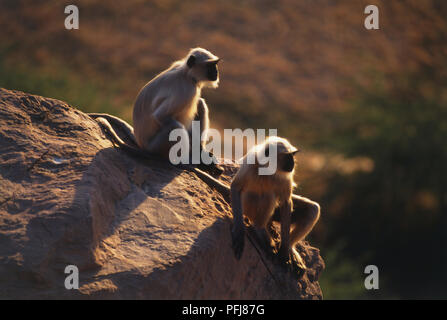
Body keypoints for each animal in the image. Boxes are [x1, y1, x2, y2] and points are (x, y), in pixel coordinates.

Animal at [231, 136, 322, 272]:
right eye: (287, 156)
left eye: (292, 155)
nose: (293, 163)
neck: (269, 168)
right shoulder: (250, 165)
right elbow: (236, 187)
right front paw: (239, 233)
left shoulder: (286, 176)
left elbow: (286, 202)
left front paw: (284, 251)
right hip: (246, 205)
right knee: (268, 195)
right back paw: (260, 229)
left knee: (313, 209)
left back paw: (289, 246)